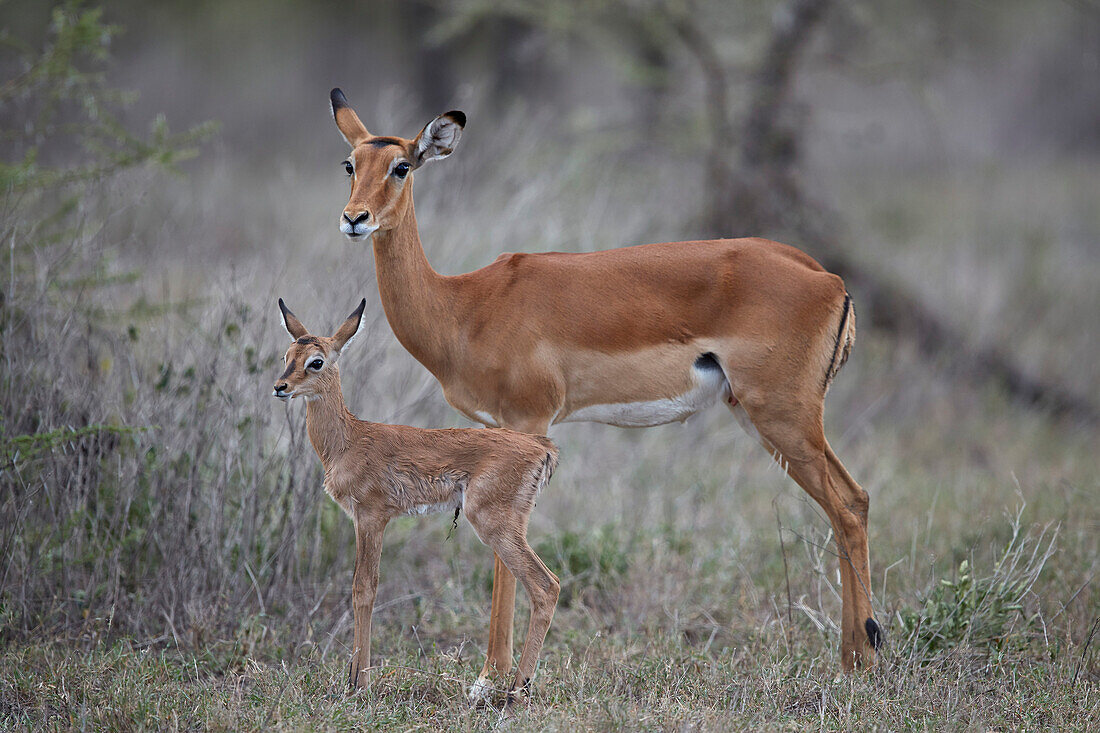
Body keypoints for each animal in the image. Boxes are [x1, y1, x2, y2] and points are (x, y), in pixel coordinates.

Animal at [271, 299, 563, 704]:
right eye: (287, 355)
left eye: (316, 361)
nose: (280, 387)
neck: (349, 440)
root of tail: (541, 446)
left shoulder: (371, 518)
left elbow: (363, 588)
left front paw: (358, 683)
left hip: (495, 525)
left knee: (546, 586)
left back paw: (515, 692)